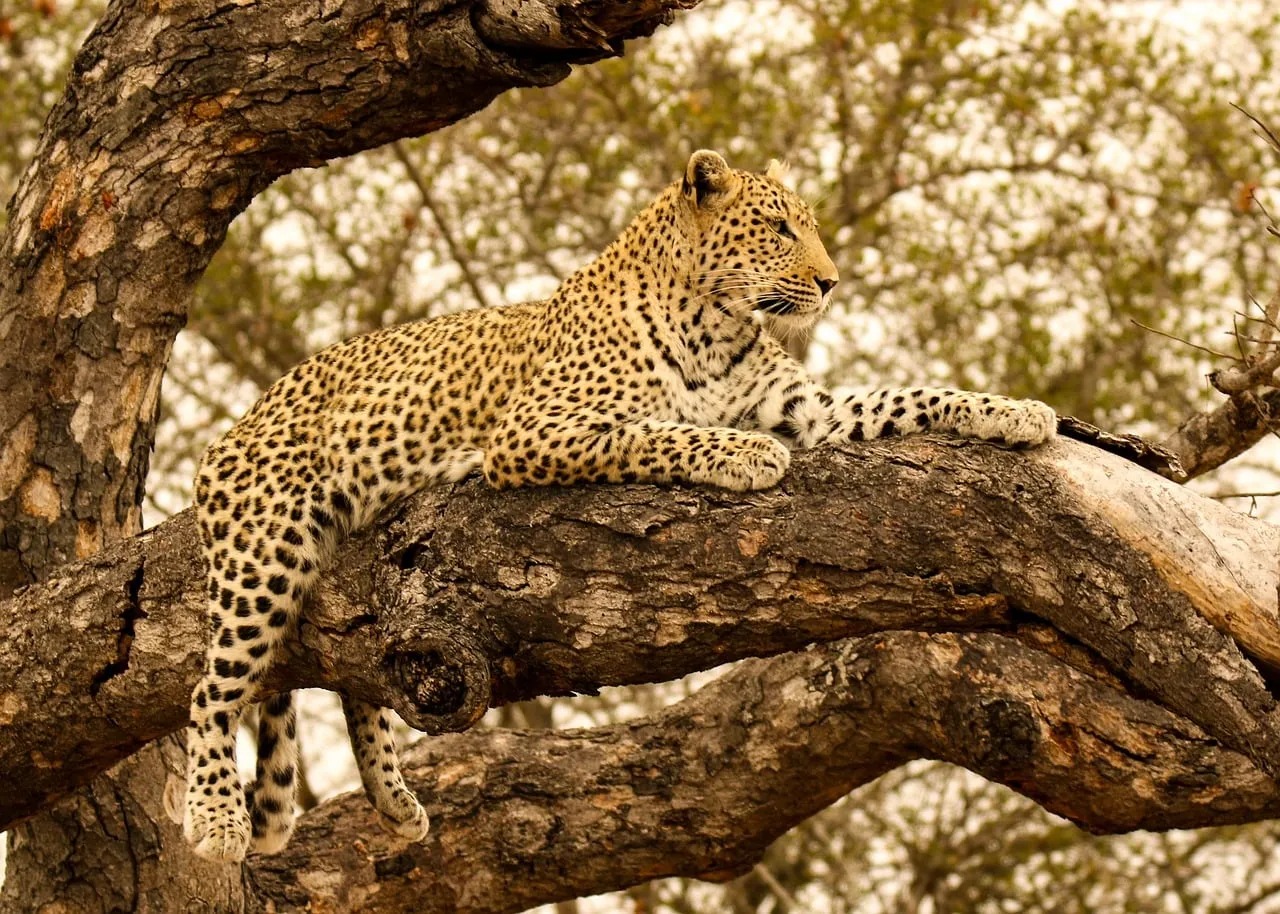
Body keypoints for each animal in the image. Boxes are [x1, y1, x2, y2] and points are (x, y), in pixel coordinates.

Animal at [180, 149, 1056, 863]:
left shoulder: (813, 410)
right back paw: (215, 817)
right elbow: (654, 431)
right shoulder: (536, 430)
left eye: (807, 228)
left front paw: (1013, 411)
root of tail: (235, 428)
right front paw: (744, 453)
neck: (716, 322)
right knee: (212, 688)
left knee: (356, 672)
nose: (831, 281)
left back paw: (395, 804)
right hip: (268, 547)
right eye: (778, 228)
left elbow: (911, 393)